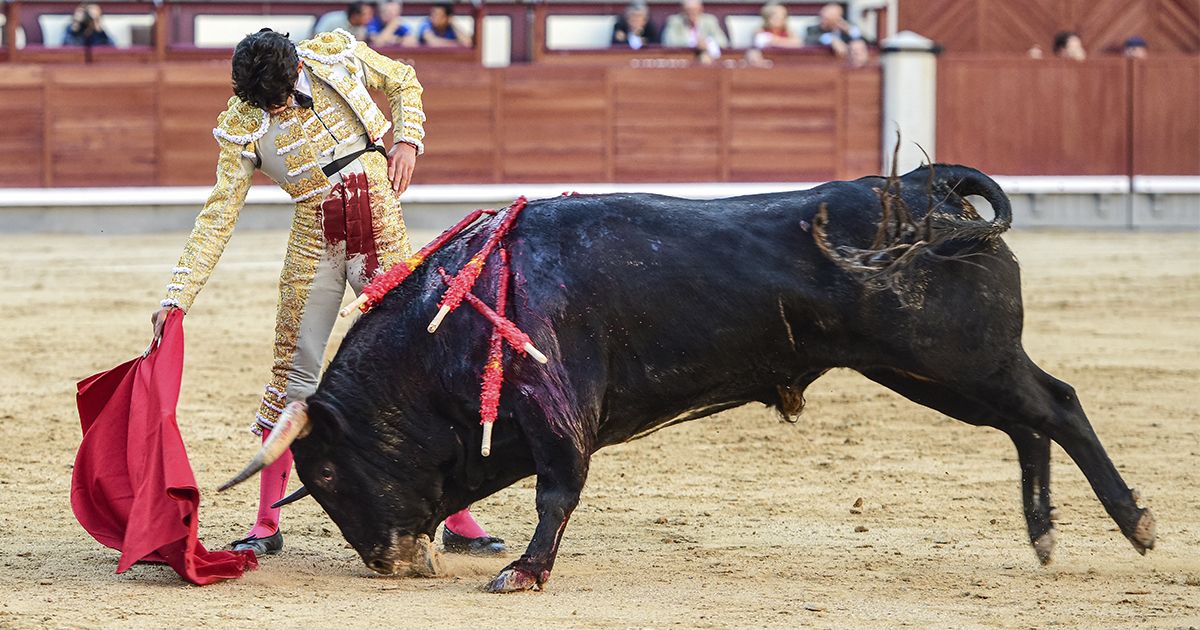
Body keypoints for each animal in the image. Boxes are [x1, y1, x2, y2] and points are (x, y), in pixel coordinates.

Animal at [222, 163, 1156, 593]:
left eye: (328, 470)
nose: (389, 564)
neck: (452, 317)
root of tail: (929, 187)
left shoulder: (557, 409)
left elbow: (557, 490)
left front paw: (523, 571)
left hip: (955, 360)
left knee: (1058, 407)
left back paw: (1135, 522)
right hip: (933, 373)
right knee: (1029, 421)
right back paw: (1044, 534)